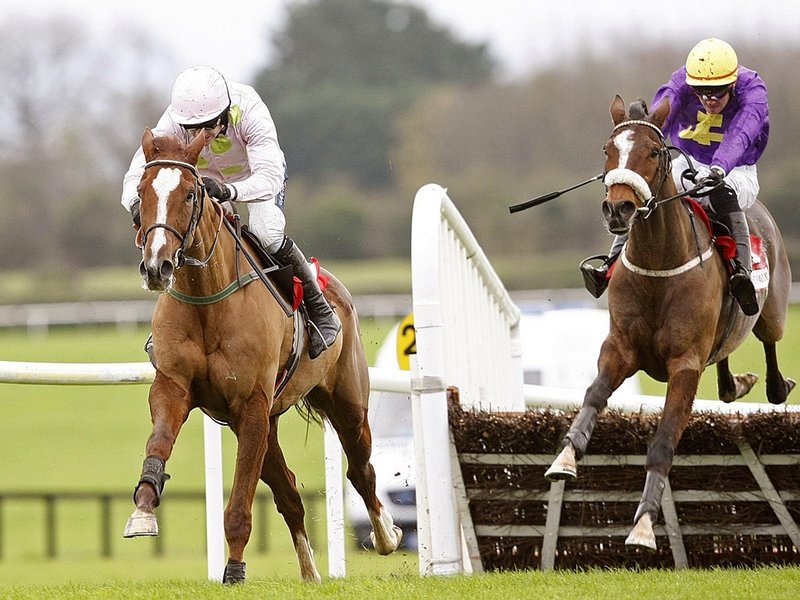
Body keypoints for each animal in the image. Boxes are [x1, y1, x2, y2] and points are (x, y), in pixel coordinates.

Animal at [122, 128, 402, 583]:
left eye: (190, 194)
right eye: (142, 193)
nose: (157, 267)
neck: (208, 301)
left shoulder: (250, 403)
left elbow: (240, 504)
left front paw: (234, 571)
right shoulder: (175, 386)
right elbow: (158, 443)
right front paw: (144, 511)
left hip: (346, 404)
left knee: (362, 471)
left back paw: (387, 536)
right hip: (266, 423)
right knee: (289, 494)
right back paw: (310, 573)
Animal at [545, 95, 795, 551]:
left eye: (653, 151)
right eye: (607, 150)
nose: (618, 208)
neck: (659, 265)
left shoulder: (684, 364)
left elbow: (663, 443)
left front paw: (643, 524)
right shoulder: (619, 347)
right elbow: (594, 395)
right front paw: (566, 457)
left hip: (772, 313)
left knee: (768, 343)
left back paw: (773, 384)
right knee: (725, 361)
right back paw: (736, 383)